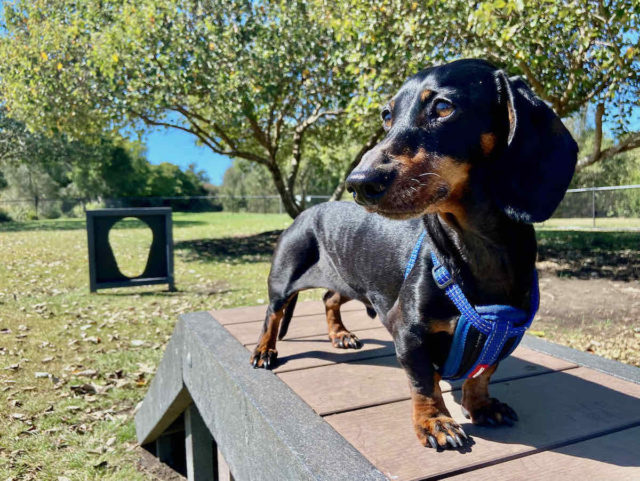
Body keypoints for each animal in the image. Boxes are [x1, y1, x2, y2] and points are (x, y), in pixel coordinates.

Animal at [251, 58, 580, 448]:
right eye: (386, 115)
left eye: (442, 107)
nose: (358, 183)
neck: (476, 246)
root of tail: (305, 212)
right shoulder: (408, 332)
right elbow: (424, 382)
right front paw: (434, 421)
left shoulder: (506, 334)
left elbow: (482, 373)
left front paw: (480, 405)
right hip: (283, 280)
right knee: (272, 315)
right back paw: (264, 350)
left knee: (330, 298)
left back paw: (340, 334)